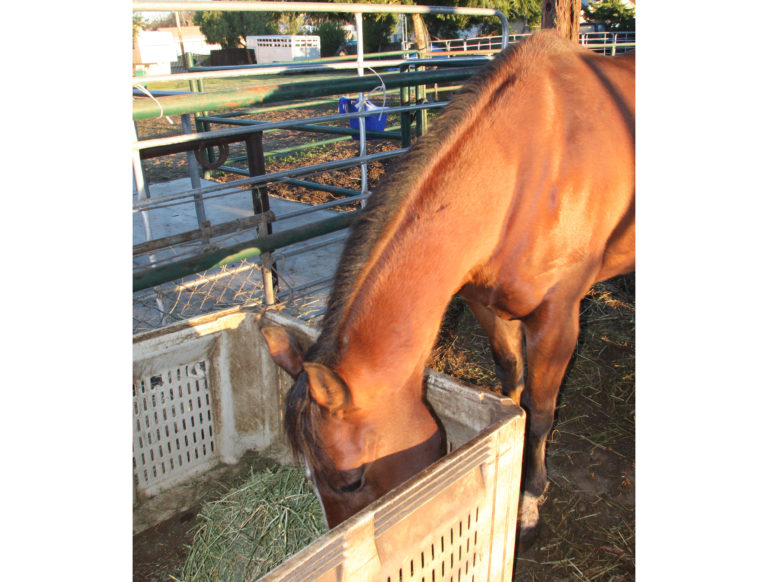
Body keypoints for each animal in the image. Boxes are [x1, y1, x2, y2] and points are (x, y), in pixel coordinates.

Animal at [261, 30, 635, 542]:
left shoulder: (558, 318)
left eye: (349, 479)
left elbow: (540, 412)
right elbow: (512, 386)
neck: (529, 168)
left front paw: (528, 503)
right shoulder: (486, 306)